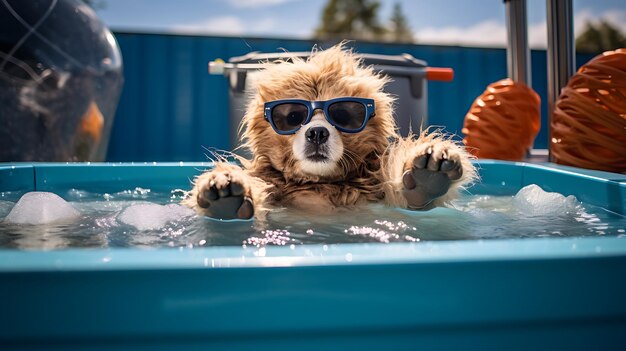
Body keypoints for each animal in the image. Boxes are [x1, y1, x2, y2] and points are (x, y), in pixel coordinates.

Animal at [183, 44, 476, 220]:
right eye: (292, 116)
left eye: (344, 114)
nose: (317, 133)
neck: (320, 184)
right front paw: (225, 187)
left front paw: (426, 175)